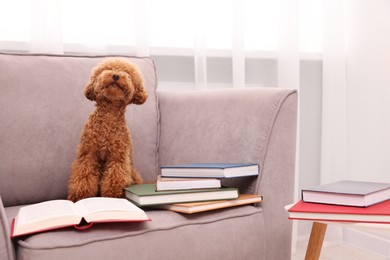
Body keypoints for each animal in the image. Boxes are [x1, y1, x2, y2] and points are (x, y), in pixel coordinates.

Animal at [66, 58, 147, 202]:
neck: (109, 115)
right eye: (107, 69)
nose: (115, 75)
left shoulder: (117, 156)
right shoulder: (88, 154)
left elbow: (115, 176)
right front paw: (80, 196)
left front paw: (112, 195)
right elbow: (83, 175)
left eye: (127, 73)